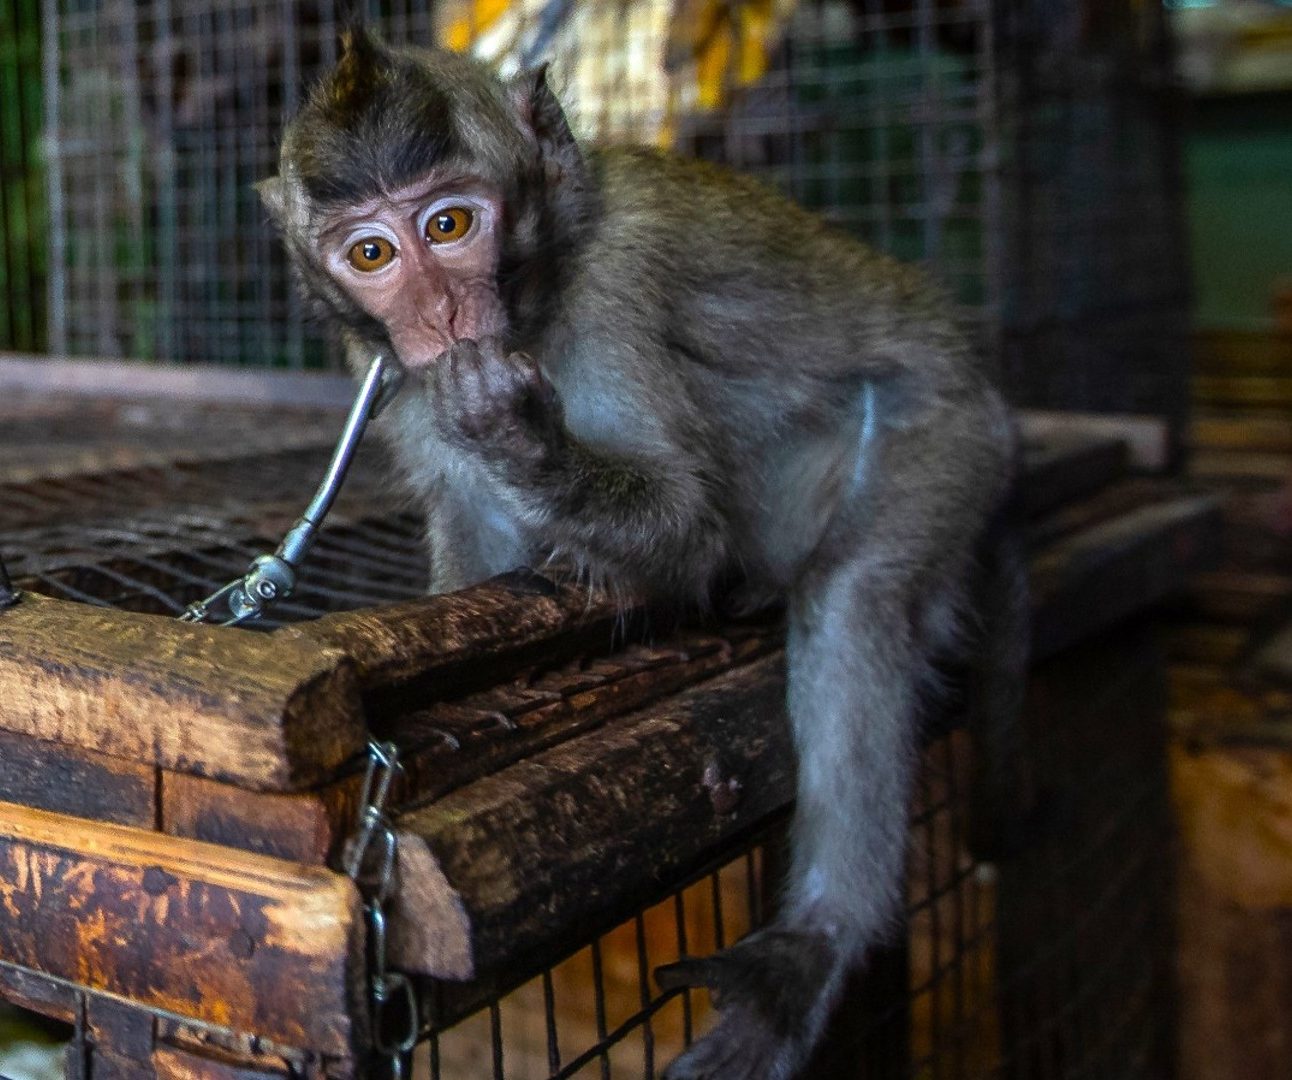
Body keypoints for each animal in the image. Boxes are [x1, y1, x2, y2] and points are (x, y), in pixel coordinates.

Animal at [262, 25, 1023, 1080]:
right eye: (371, 252)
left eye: (450, 226)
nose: (441, 318)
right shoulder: (391, 371)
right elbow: (478, 563)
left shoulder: (613, 289)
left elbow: (689, 526)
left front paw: (522, 438)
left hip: (948, 435)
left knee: (854, 596)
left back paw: (817, 940)